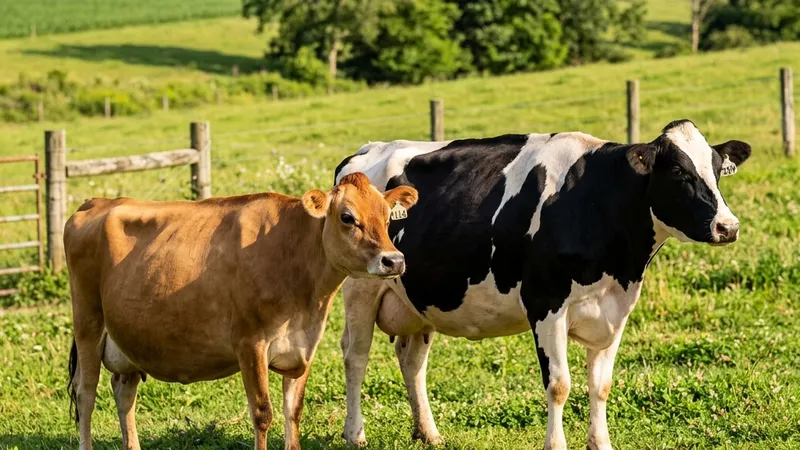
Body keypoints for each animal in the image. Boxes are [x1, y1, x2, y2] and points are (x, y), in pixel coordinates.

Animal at [64, 172, 418, 450]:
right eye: (347, 217)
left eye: (388, 216)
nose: (394, 260)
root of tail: (94, 203)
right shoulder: (250, 343)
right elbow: (262, 413)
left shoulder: (303, 347)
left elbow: (293, 412)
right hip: (87, 324)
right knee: (86, 393)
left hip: (126, 339)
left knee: (124, 392)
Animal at [334, 120, 751, 450]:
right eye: (679, 173)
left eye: (717, 171)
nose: (728, 227)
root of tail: (363, 154)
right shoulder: (546, 304)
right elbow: (559, 384)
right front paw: (556, 444)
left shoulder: (614, 310)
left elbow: (601, 385)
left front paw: (601, 443)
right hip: (361, 290)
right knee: (356, 356)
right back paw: (355, 434)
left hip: (419, 299)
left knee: (412, 361)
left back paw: (429, 433)